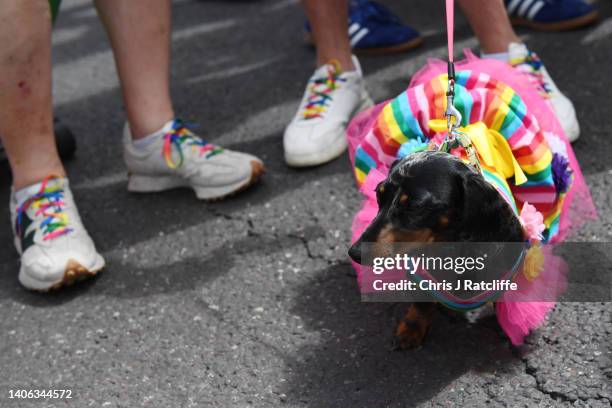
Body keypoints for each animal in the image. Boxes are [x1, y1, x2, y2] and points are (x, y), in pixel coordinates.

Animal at [350, 151, 524, 350]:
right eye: (379, 195)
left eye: (414, 206)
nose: (355, 253)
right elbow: (422, 302)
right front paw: (411, 328)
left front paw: (508, 326)